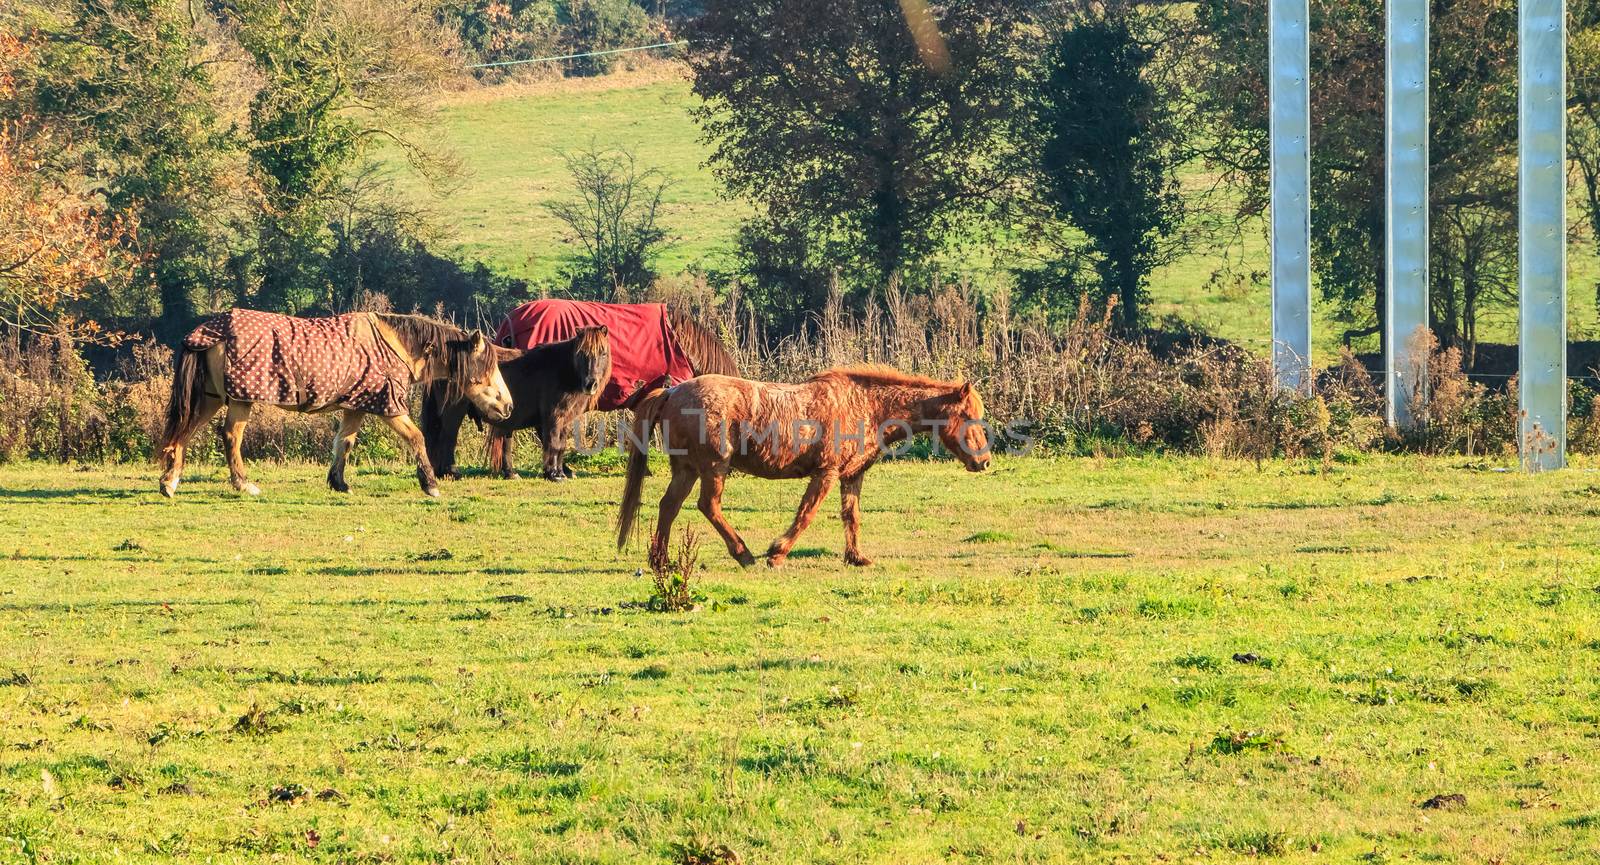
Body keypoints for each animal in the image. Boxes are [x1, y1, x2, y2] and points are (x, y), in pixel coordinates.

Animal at [158, 310, 508, 498]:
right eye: (486, 368)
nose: (507, 406)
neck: (395, 346)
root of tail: (208, 331)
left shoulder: (356, 407)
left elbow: (344, 443)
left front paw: (339, 483)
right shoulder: (388, 406)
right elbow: (416, 437)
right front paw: (430, 484)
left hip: (211, 399)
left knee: (184, 433)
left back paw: (169, 482)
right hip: (240, 400)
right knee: (231, 437)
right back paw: (244, 485)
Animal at [422, 326, 614, 479]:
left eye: (603, 353)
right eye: (581, 354)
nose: (591, 383)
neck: (562, 369)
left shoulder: (564, 419)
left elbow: (560, 445)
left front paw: (560, 472)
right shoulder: (553, 417)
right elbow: (553, 443)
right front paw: (553, 474)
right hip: (453, 412)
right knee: (447, 437)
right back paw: (451, 472)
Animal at [620, 364, 985, 566]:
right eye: (968, 416)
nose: (983, 461)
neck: (865, 404)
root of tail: (672, 392)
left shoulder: (851, 476)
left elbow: (851, 516)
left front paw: (856, 557)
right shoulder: (826, 473)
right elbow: (806, 514)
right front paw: (777, 553)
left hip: (687, 469)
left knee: (669, 506)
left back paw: (661, 560)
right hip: (714, 467)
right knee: (708, 506)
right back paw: (743, 553)